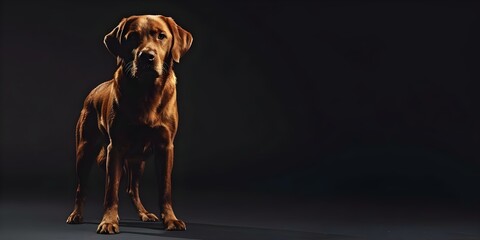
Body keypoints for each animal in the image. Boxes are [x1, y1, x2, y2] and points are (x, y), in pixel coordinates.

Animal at [65, 14, 193, 233]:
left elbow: (165, 189)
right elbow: (110, 191)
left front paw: (170, 219)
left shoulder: (165, 147)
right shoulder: (115, 147)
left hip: (137, 160)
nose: (146, 56)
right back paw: (76, 215)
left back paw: (144, 213)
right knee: (82, 187)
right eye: (132, 37)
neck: (146, 92)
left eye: (161, 36)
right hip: (85, 150)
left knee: (131, 188)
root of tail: (92, 93)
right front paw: (108, 221)